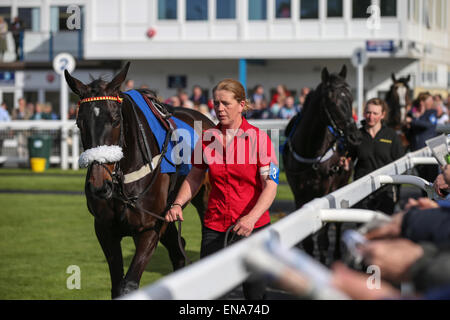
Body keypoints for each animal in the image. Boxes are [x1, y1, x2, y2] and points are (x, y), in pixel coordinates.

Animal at [64, 62, 216, 298]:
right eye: (80, 123)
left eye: (115, 120)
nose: (99, 185)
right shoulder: (106, 228)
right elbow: (117, 286)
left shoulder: (149, 228)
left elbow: (129, 285)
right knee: (178, 250)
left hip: (204, 199)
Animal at [284, 66, 364, 264]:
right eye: (333, 102)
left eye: (351, 98)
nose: (355, 137)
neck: (310, 152)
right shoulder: (299, 193)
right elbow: (308, 241)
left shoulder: (326, 190)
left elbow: (323, 237)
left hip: (342, 183)